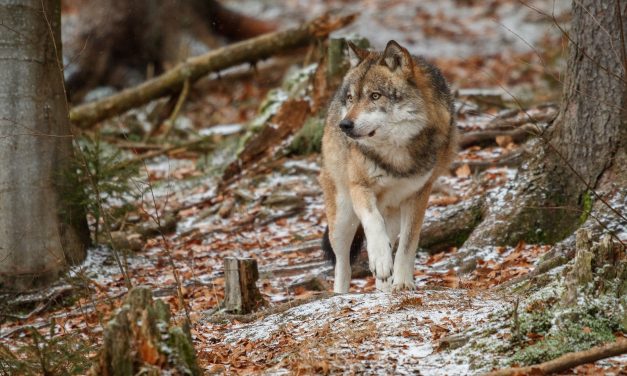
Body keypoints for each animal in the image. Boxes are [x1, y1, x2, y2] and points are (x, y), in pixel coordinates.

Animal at [318, 41, 456, 294]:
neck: (395, 155)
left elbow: (408, 244)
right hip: (342, 218)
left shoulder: (419, 194)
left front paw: (403, 283)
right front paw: (381, 260)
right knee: (342, 263)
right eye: (351, 98)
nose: (344, 125)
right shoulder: (359, 187)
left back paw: (383, 288)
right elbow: (373, 223)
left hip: (391, 213)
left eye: (375, 96)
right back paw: (341, 292)